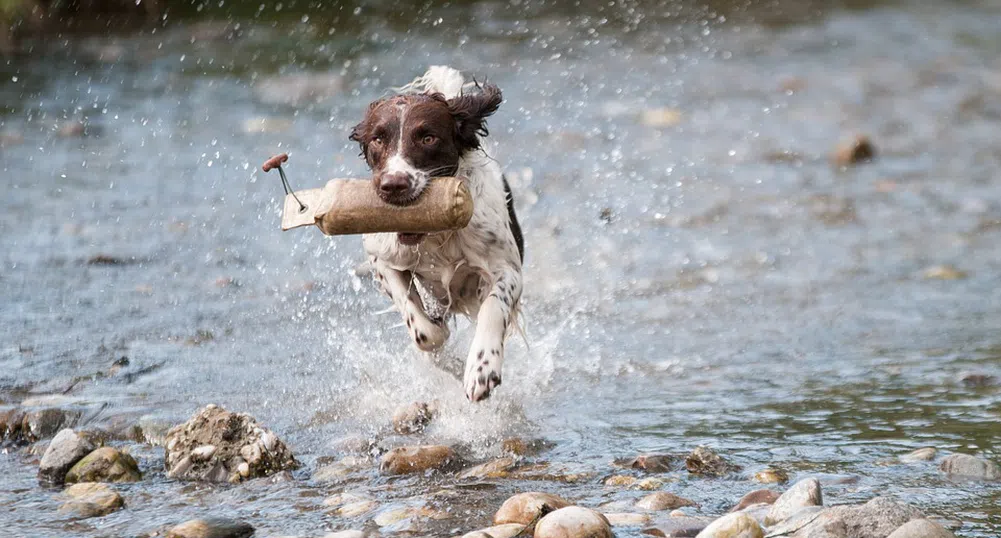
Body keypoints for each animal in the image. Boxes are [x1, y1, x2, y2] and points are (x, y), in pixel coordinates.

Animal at [350, 65, 524, 400]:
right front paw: (443, 347)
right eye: (377, 139)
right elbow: (423, 329)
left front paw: (482, 368)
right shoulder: (381, 257)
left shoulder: (507, 269)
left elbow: (494, 306)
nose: (393, 185)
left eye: (428, 137)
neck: (436, 236)